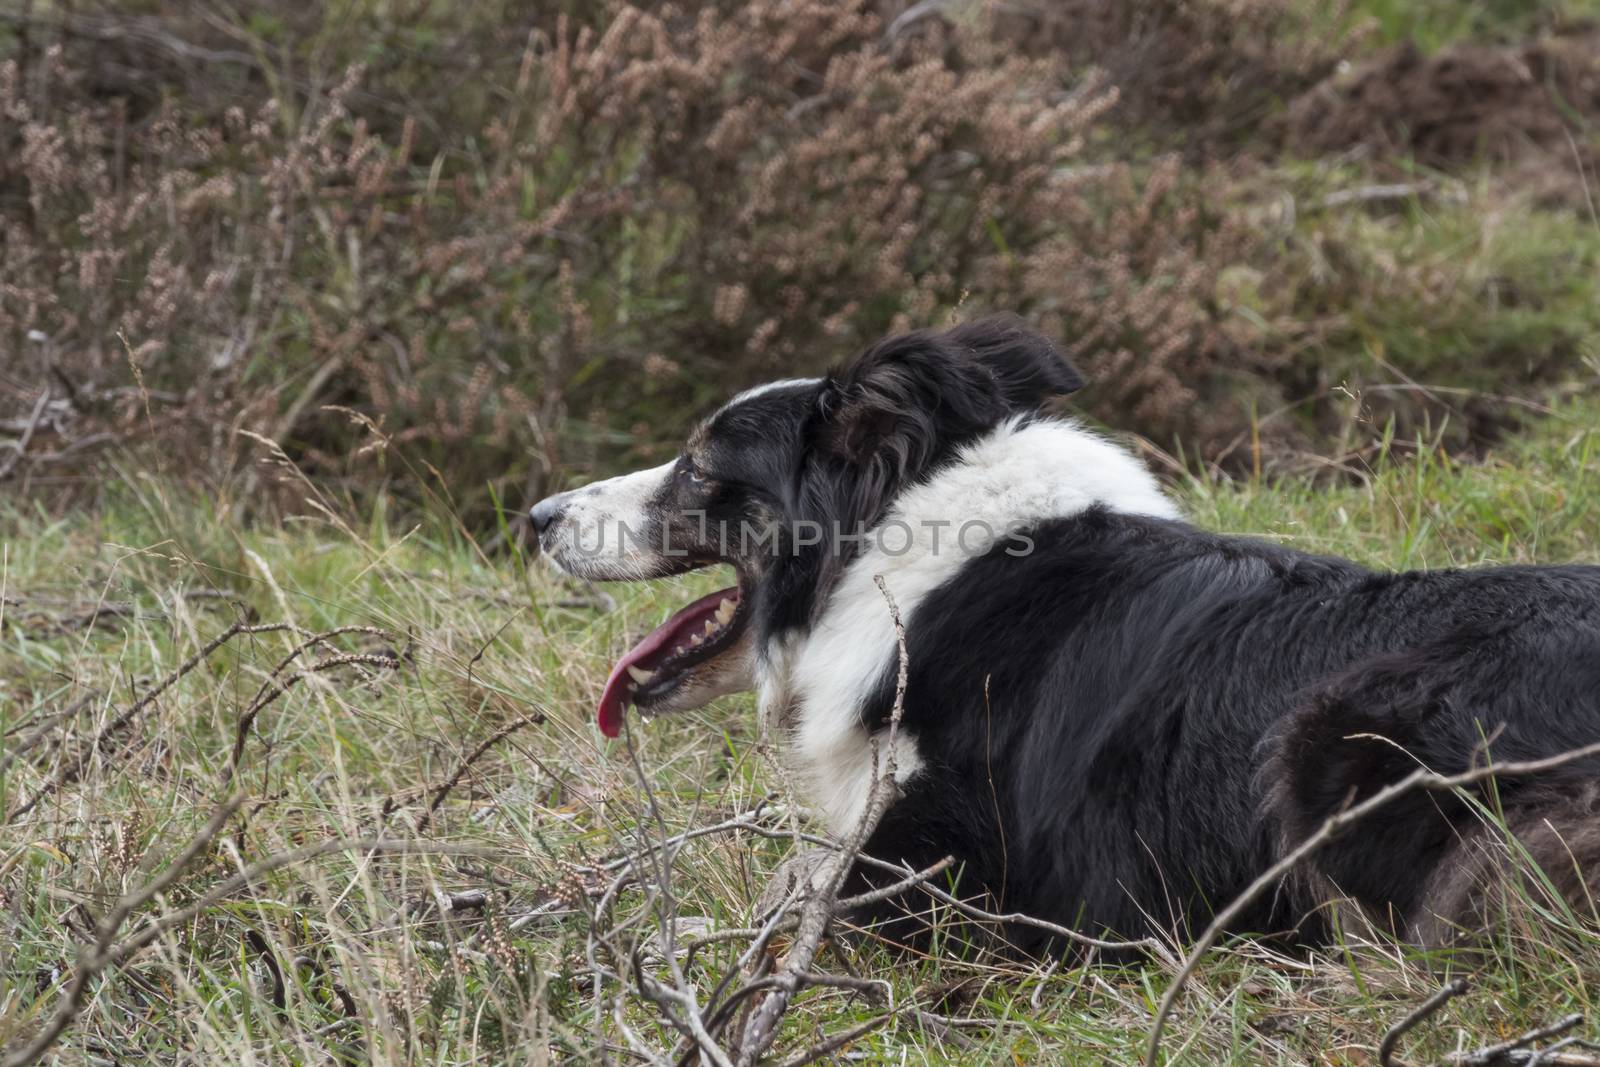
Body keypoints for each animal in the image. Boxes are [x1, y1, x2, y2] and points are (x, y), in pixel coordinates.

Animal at [531, 315, 1600, 953]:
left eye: (698, 468)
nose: (538, 516)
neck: (894, 565)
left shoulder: (952, 867)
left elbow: (792, 898)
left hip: (1331, 732)